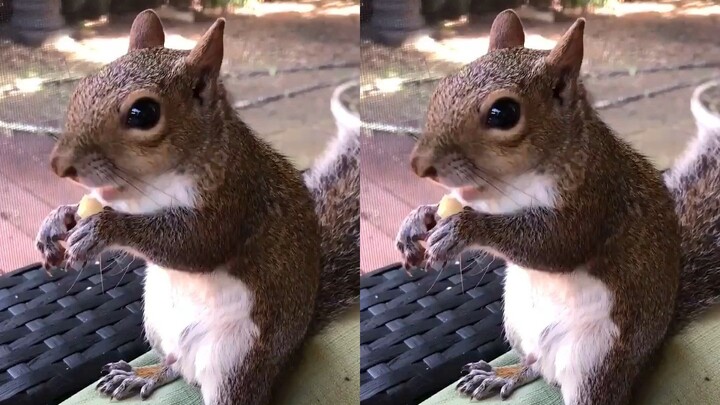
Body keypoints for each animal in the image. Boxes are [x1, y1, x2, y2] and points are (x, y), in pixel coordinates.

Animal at [34, 9, 359, 405]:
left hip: (235, 359)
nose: (59, 166)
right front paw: (56, 220)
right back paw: (141, 374)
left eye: (143, 113)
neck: (152, 183)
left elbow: (196, 245)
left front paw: (103, 229)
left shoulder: (235, 196)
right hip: (156, 322)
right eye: (82, 86)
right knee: (174, 365)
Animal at [396, 10, 720, 405]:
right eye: (442, 86)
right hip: (516, 322)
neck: (513, 182)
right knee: (534, 365)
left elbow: (556, 245)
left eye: (503, 113)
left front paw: (464, 229)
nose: (419, 166)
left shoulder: (595, 196)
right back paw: (501, 373)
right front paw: (417, 220)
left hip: (596, 360)